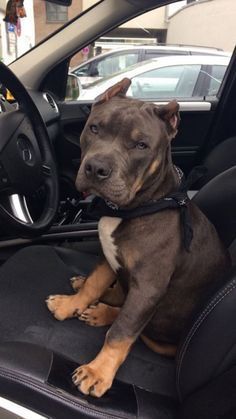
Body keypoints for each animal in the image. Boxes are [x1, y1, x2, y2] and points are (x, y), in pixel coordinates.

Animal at [46, 79, 230, 400]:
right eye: (94, 128)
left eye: (141, 145)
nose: (96, 169)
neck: (139, 205)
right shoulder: (109, 256)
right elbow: (94, 283)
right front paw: (72, 304)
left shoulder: (148, 287)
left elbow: (123, 331)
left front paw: (98, 372)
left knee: (136, 324)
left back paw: (103, 314)